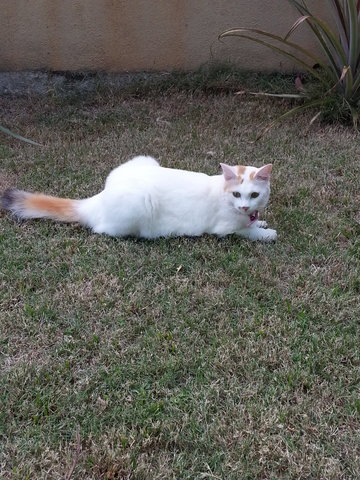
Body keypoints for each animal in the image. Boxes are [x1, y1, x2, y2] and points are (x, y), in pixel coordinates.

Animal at [1, 157, 278, 242]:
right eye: (236, 194)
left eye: (254, 195)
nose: (245, 205)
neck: (222, 192)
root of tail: (96, 200)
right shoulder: (223, 229)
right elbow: (247, 232)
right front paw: (267, 233)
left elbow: (252, 223)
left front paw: (260, 221)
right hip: (138, 204)